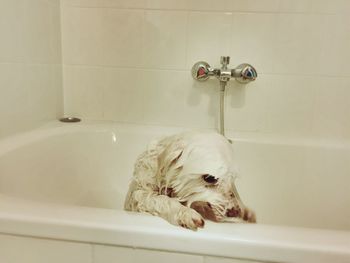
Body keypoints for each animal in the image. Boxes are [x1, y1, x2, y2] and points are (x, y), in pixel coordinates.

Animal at [124, 132, 256, 231]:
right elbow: (162, 200)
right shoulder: (138, 196)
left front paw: (246, 212)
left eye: (232, 178)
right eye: (210, 178)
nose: (235, 211)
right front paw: (186, 213)